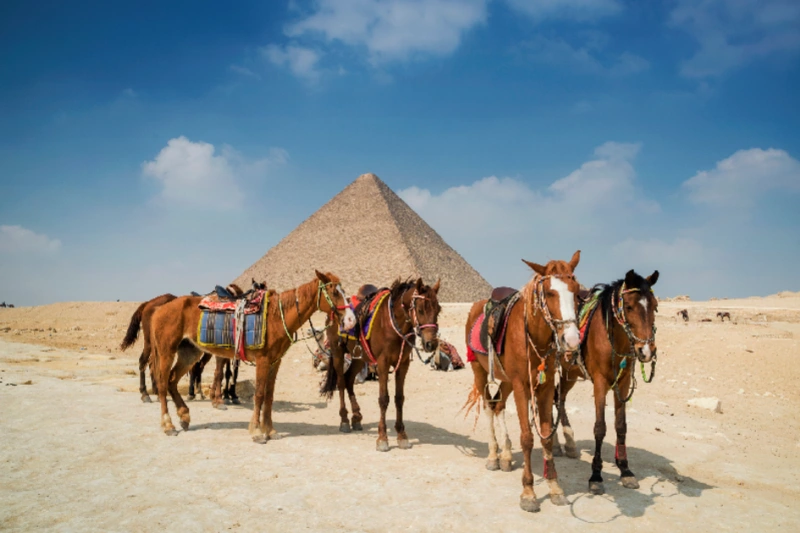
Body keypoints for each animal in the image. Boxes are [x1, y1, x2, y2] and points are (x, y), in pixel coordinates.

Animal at [150, 270, 356, 442]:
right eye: (334, 292)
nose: (351, 320)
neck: (276, 317)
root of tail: (159, 309)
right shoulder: (263, 360)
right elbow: (259, 394)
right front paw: (257, 431)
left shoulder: (275, 361)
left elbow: (269, 396)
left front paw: (270, 430)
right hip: (167, 351)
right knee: (162, 384)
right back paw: (168, 425)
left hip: (190, 352)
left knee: (172, 380)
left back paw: (184, 416)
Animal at [320, 278, 441, 452]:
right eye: (420, 309)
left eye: (439, 309)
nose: (431, 344)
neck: (393, 323)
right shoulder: (383, 363)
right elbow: (384, 399)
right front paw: (382, 438)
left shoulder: (403, 364)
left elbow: (399, 398)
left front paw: (402, 435)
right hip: (338, 352)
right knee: (342, 382)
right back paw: (344, 420)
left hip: (360, 357)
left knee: (349, 379)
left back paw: (356, 417)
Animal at [464, 251, 582, 513]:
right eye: (549, 292)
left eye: (577, 291)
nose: (571, 340)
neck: (535, 336)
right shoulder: (521, 386)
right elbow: (527, 438)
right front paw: (528, 492)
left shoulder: (544, 387)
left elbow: (546, 436)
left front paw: (555, 487)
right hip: (480, 371)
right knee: (489, 406)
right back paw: (493, 456)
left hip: (507, 380)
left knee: (498, 405)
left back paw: (506, 455)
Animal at [552, 269, 659, 495]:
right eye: (629, 306)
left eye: (655, 306)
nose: (646, 351)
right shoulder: (600, 383)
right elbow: (600, 428)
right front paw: (596, 475)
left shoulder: (624, 383)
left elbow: (621, 426)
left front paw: (625, 470)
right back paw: (557, 443)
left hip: (571, 372)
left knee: (559, 396)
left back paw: (568, 444)